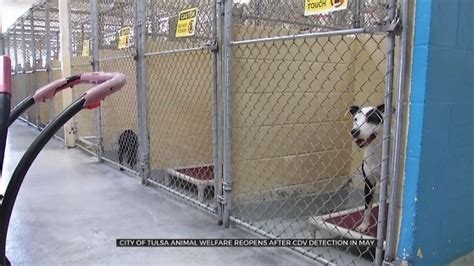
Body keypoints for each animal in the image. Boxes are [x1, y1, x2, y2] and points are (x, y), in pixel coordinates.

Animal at [348, 104, 386, 233]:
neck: (376, 150)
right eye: (355, 119)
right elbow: (367, 207)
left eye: (371, 118)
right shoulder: (369, 182)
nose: (354, 131)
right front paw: (364, 226)